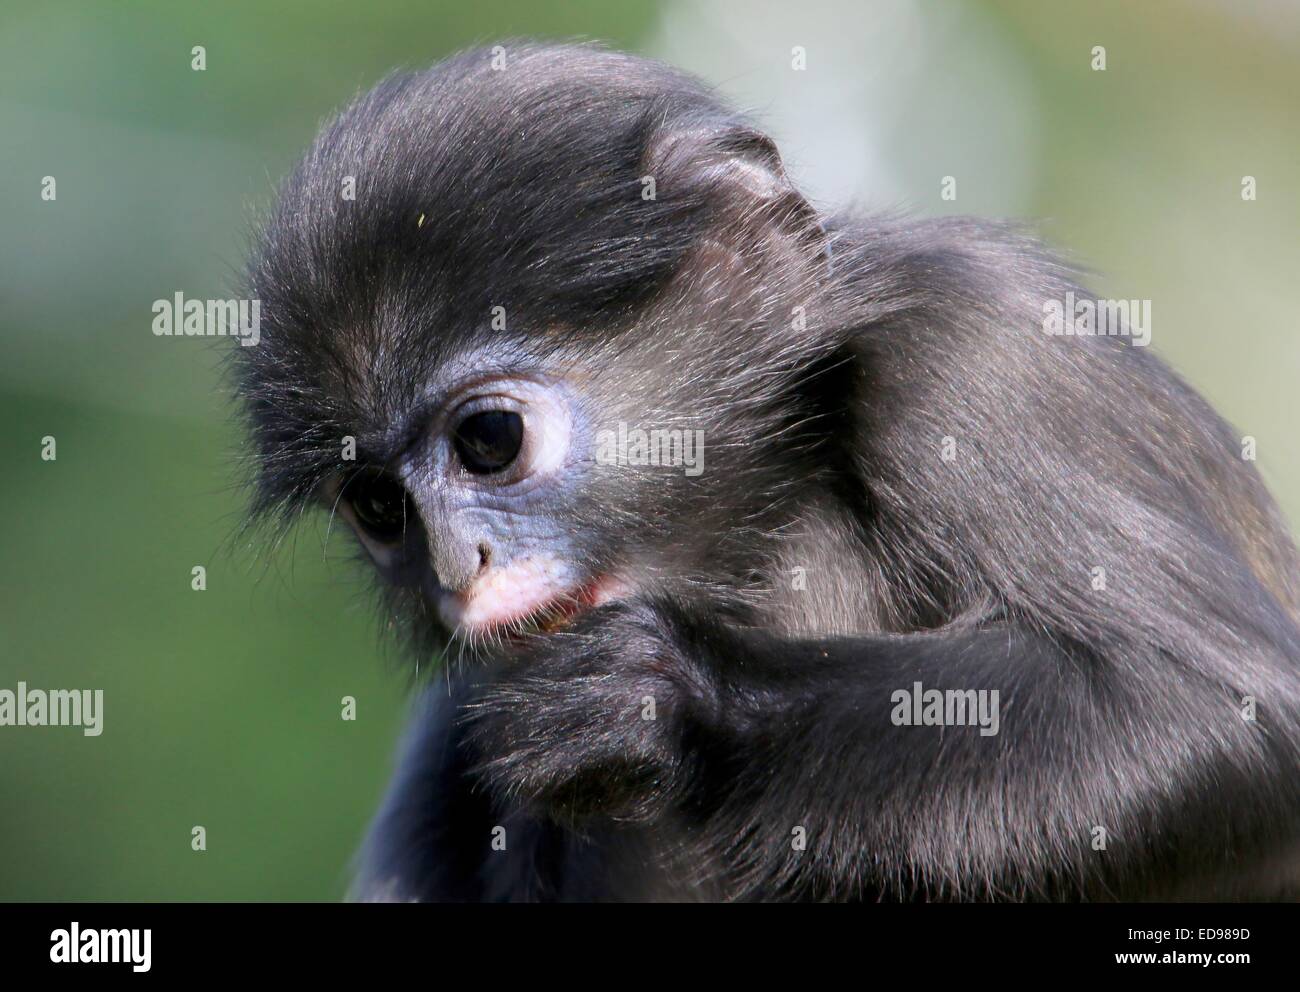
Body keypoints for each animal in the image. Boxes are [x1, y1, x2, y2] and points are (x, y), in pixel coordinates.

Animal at [233, 42, 1300, 904]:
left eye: (490, 439)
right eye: (380, 507)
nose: (460, 569)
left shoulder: (978, 341)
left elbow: (1225, 721)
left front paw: (669, 700)